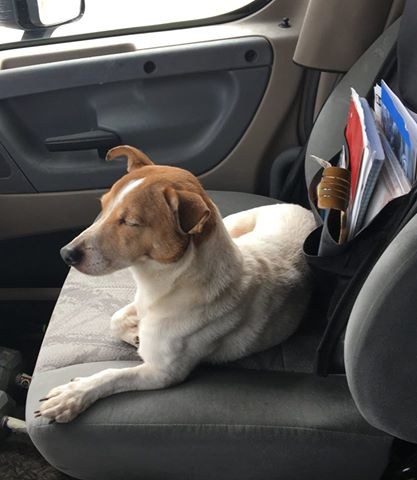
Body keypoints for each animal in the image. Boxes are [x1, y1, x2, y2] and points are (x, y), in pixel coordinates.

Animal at [35, 144, 314, 422]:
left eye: (131, 222)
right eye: (103, 206)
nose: (66, 254)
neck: (167, 283)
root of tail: (302, 209)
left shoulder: (162, 373)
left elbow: (112, 375)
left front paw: (74, 394)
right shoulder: (139, 303)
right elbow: (115, 318)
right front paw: (135, 334)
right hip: (236, 224)